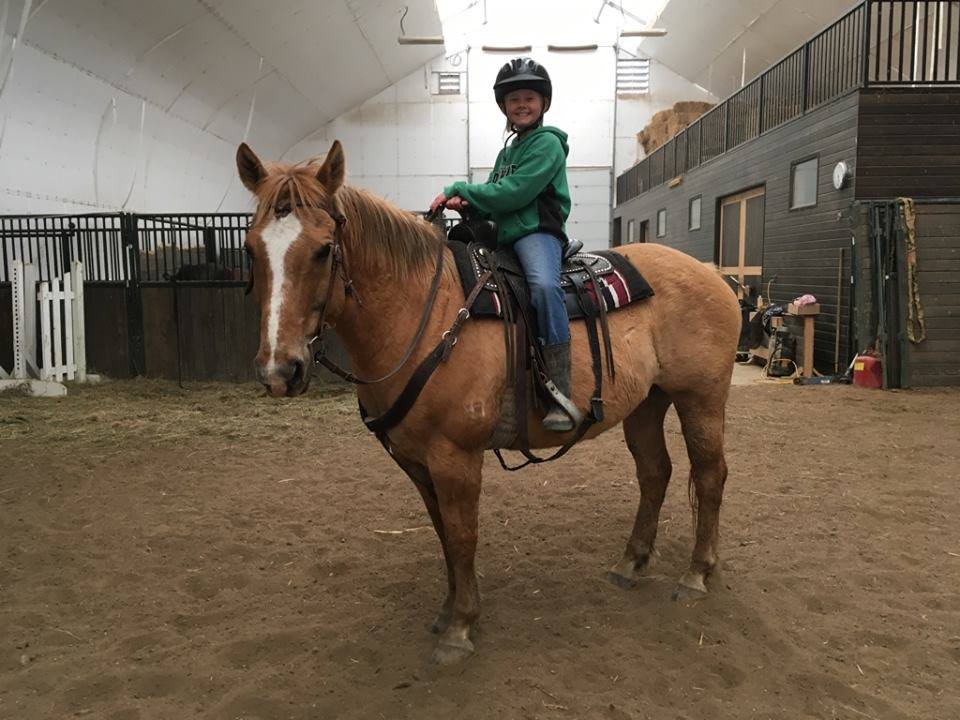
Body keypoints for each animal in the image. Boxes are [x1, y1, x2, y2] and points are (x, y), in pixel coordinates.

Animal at [236, 140, 742, 665]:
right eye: (251, 249)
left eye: (323, 249)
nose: (280, 370)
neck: (423, 312)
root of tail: (712, 275)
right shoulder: (415, 460)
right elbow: (442, 532)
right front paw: (448, 610)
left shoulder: (455, 456)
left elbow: (463, 536)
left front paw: (461, 626)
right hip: (647, 403)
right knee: (654, 472)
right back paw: (631, 562)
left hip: (701, 399)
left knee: (709, 475)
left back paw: (697, 574)